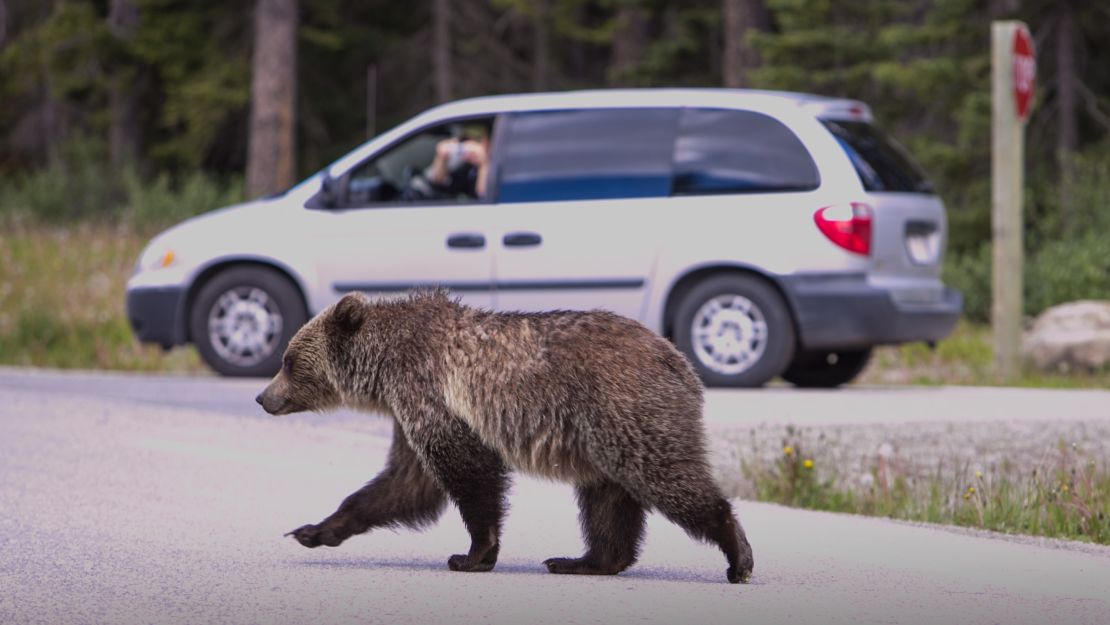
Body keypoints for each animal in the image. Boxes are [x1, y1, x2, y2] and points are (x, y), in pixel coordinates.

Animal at [255, 290, 754, 586]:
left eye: (289, 361)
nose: (263, 397)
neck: (384, 368)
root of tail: (678, 360)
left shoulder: (433, 395)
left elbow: (468, 474)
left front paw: (472, 554)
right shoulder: (411, 409)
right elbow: (403, 484)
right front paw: (313, 530)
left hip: (624, 410)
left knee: (666, 477)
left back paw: (738, 556)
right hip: (601, 438)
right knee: (607, 502)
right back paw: (581, 560)